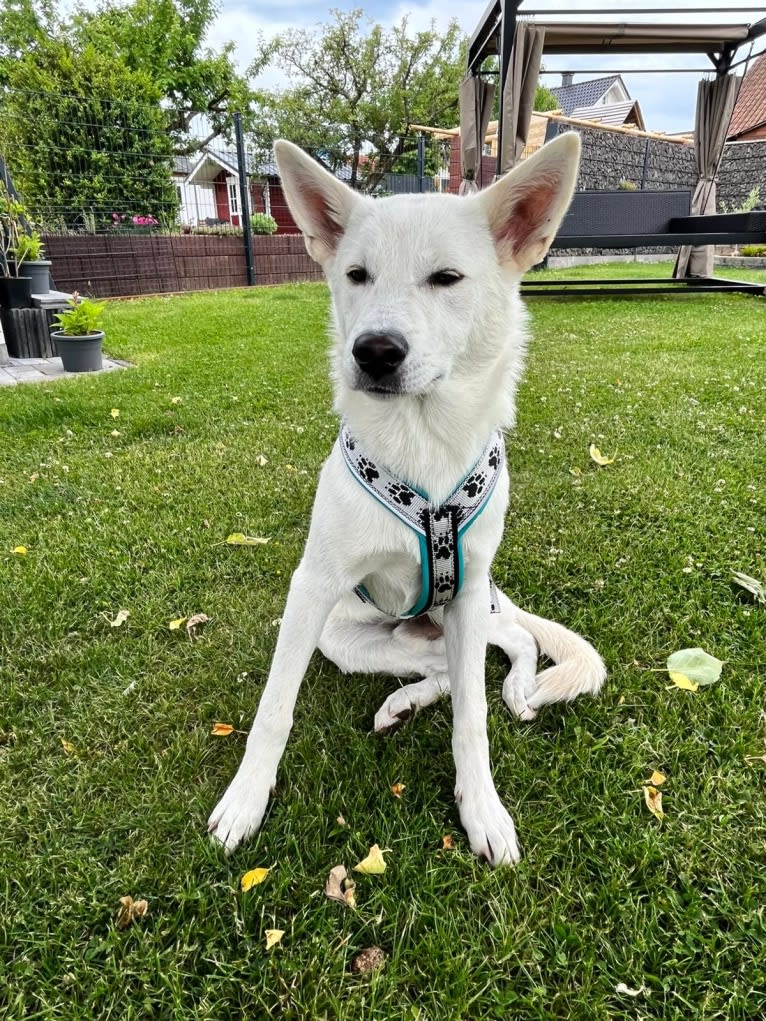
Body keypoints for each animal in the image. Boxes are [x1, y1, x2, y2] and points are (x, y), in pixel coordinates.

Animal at [210, 135, 604, 865]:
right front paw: (246, 801)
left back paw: (519, 688)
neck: (423, 445)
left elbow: (474, 717)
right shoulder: (312, 588)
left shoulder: (469, 590)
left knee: (507, 650)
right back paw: (404, 703)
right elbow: (274, 707)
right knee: (448, 669)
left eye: (446, 278)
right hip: (352, 639)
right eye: (357, 275)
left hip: (475, 609)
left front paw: (482, 809)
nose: (374, 351)